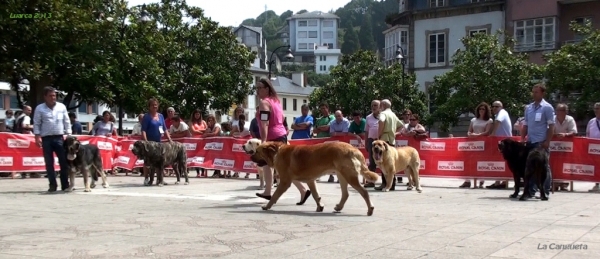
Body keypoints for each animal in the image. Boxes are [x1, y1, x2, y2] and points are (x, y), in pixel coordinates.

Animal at [241, 139, 378, 216]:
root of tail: (354, 149)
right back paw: (339, 207)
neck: (277, 151)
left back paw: (370, 209)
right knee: (346, 194)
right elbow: (315, 195)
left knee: (364, 192)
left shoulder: (285, 182)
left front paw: (267, 206)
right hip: (342, 175)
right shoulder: (311, 181)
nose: (251, 157)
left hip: (349, 176)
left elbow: (275, 196)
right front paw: (320, 206)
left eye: (257, 151)